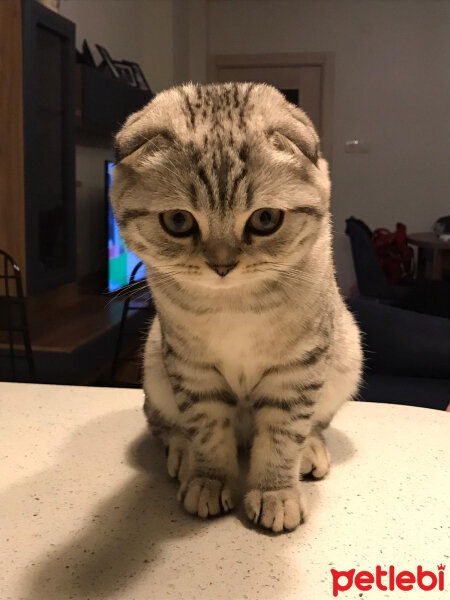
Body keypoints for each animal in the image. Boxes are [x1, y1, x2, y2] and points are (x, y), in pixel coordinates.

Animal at [111, 82, 362, 532]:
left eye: (265, 219)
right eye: (178, 221)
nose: (222, 265)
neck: (235, 305)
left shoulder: (297, 369)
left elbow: (282, 435)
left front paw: (276, 493)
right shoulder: (193, 367)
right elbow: (207, 430)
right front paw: (209, 481)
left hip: (347, 355)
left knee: (313, 425)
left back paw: (310, 452)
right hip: (154, 363)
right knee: (163, 425)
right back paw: (182, 454)